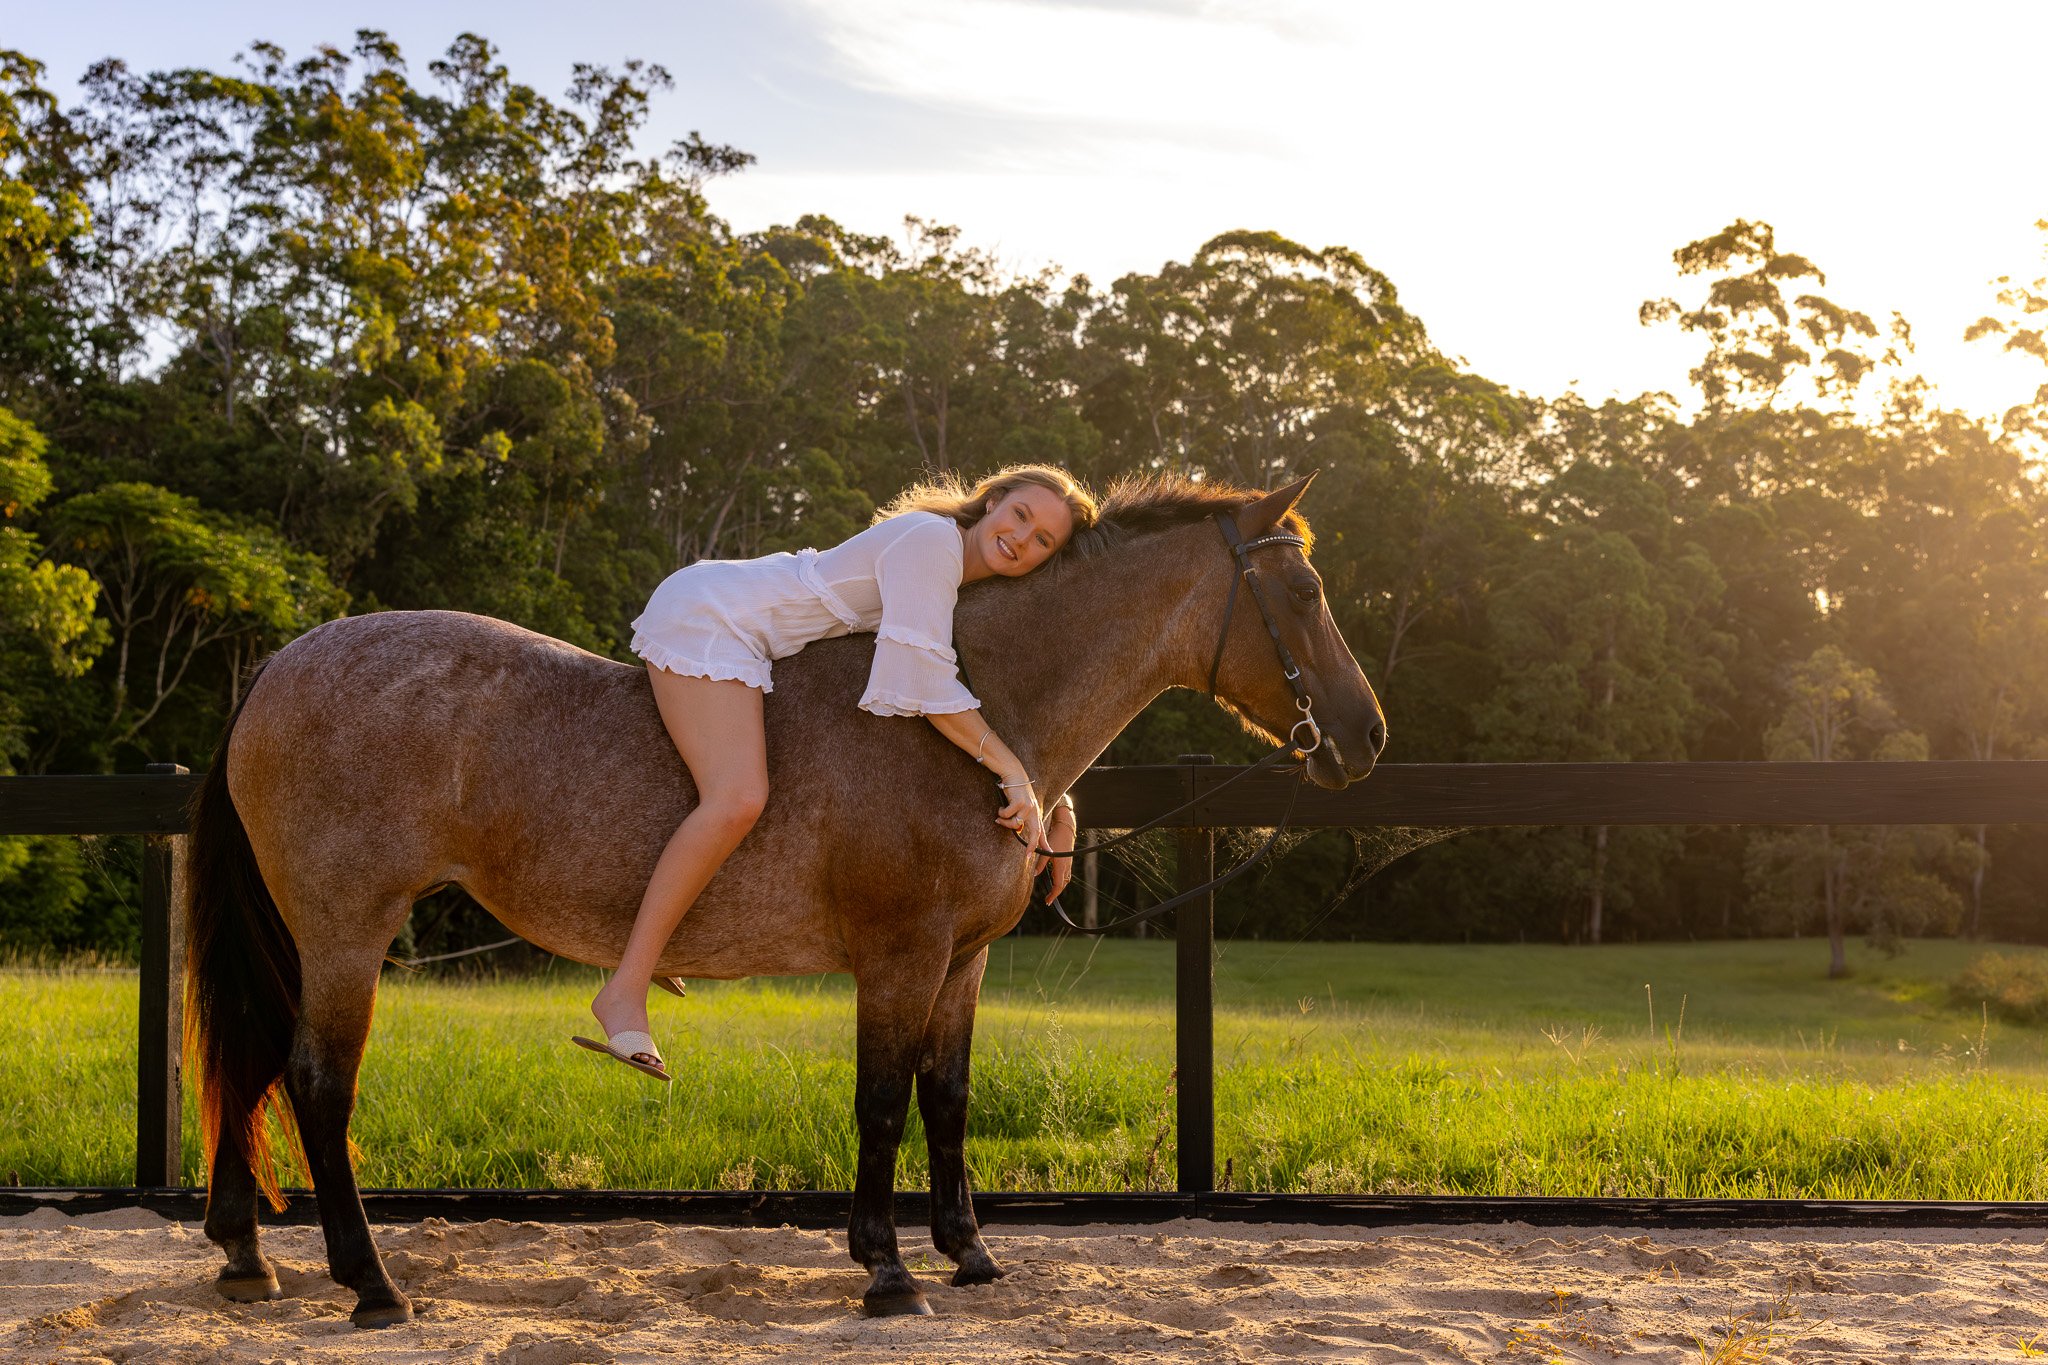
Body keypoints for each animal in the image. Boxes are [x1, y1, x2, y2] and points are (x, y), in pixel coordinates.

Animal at [182, 471, 1387, 1326]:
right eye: (1305, 593)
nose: (1366, 737)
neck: (968, 719)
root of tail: (280, 663)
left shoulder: (961, 962)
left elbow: (947, 1099)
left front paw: (969, 1253)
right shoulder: (900, 957)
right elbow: (884, 1102)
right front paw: (886, 1269)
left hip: (307, 936)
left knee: (255, 1061)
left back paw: (246, 1256)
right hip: (349, 932)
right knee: (317, 1082)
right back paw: (372, 1284)